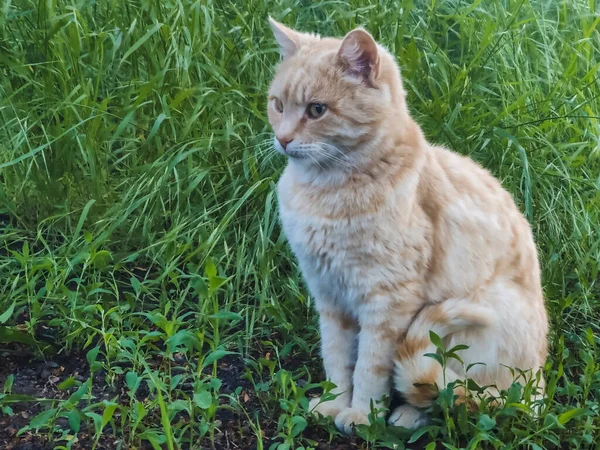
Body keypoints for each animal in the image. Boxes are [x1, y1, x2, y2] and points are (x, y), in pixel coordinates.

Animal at [268, 19, 548, 434]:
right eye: (278, 105)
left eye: (317, 110)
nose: (282, 138)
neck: (324, 191)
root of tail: (539, 384)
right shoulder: (329, 294)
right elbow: (336, 357)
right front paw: (335, 404)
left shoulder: (388, 300)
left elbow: (371, 366)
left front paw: (362, 415)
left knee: (453, 396)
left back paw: (404, 417)